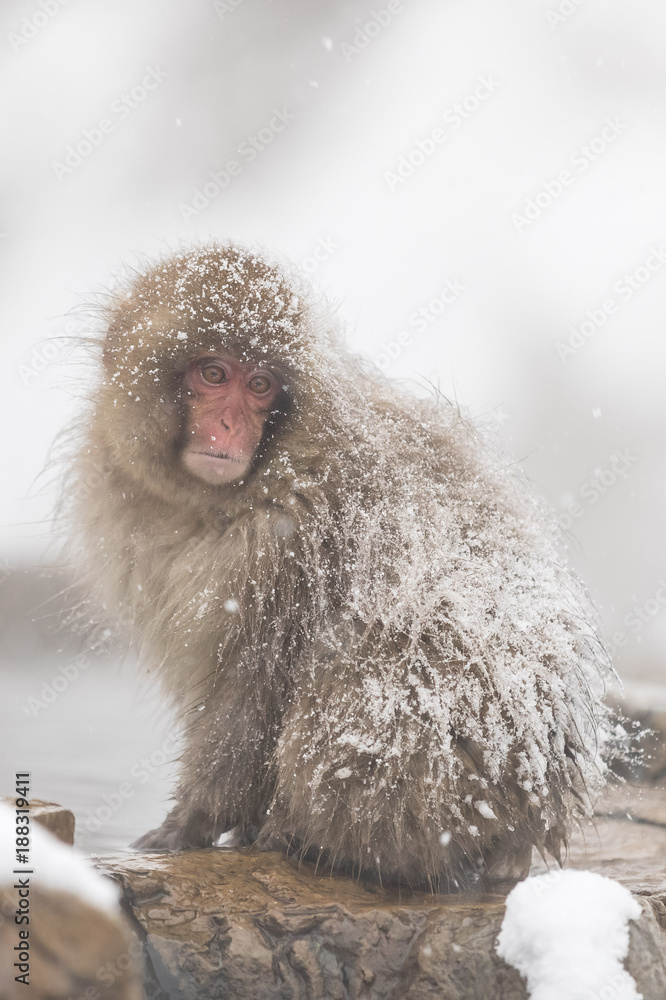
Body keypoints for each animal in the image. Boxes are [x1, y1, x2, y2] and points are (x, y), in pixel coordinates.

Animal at [65, 240, 608, 892]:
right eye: (213, 374)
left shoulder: (288, 542)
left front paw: (189, 824)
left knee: (380, 665)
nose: (229, 425)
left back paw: (309, 841)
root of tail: (532, 818)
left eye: (261, 385)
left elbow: (253, 688)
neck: (226, 499)